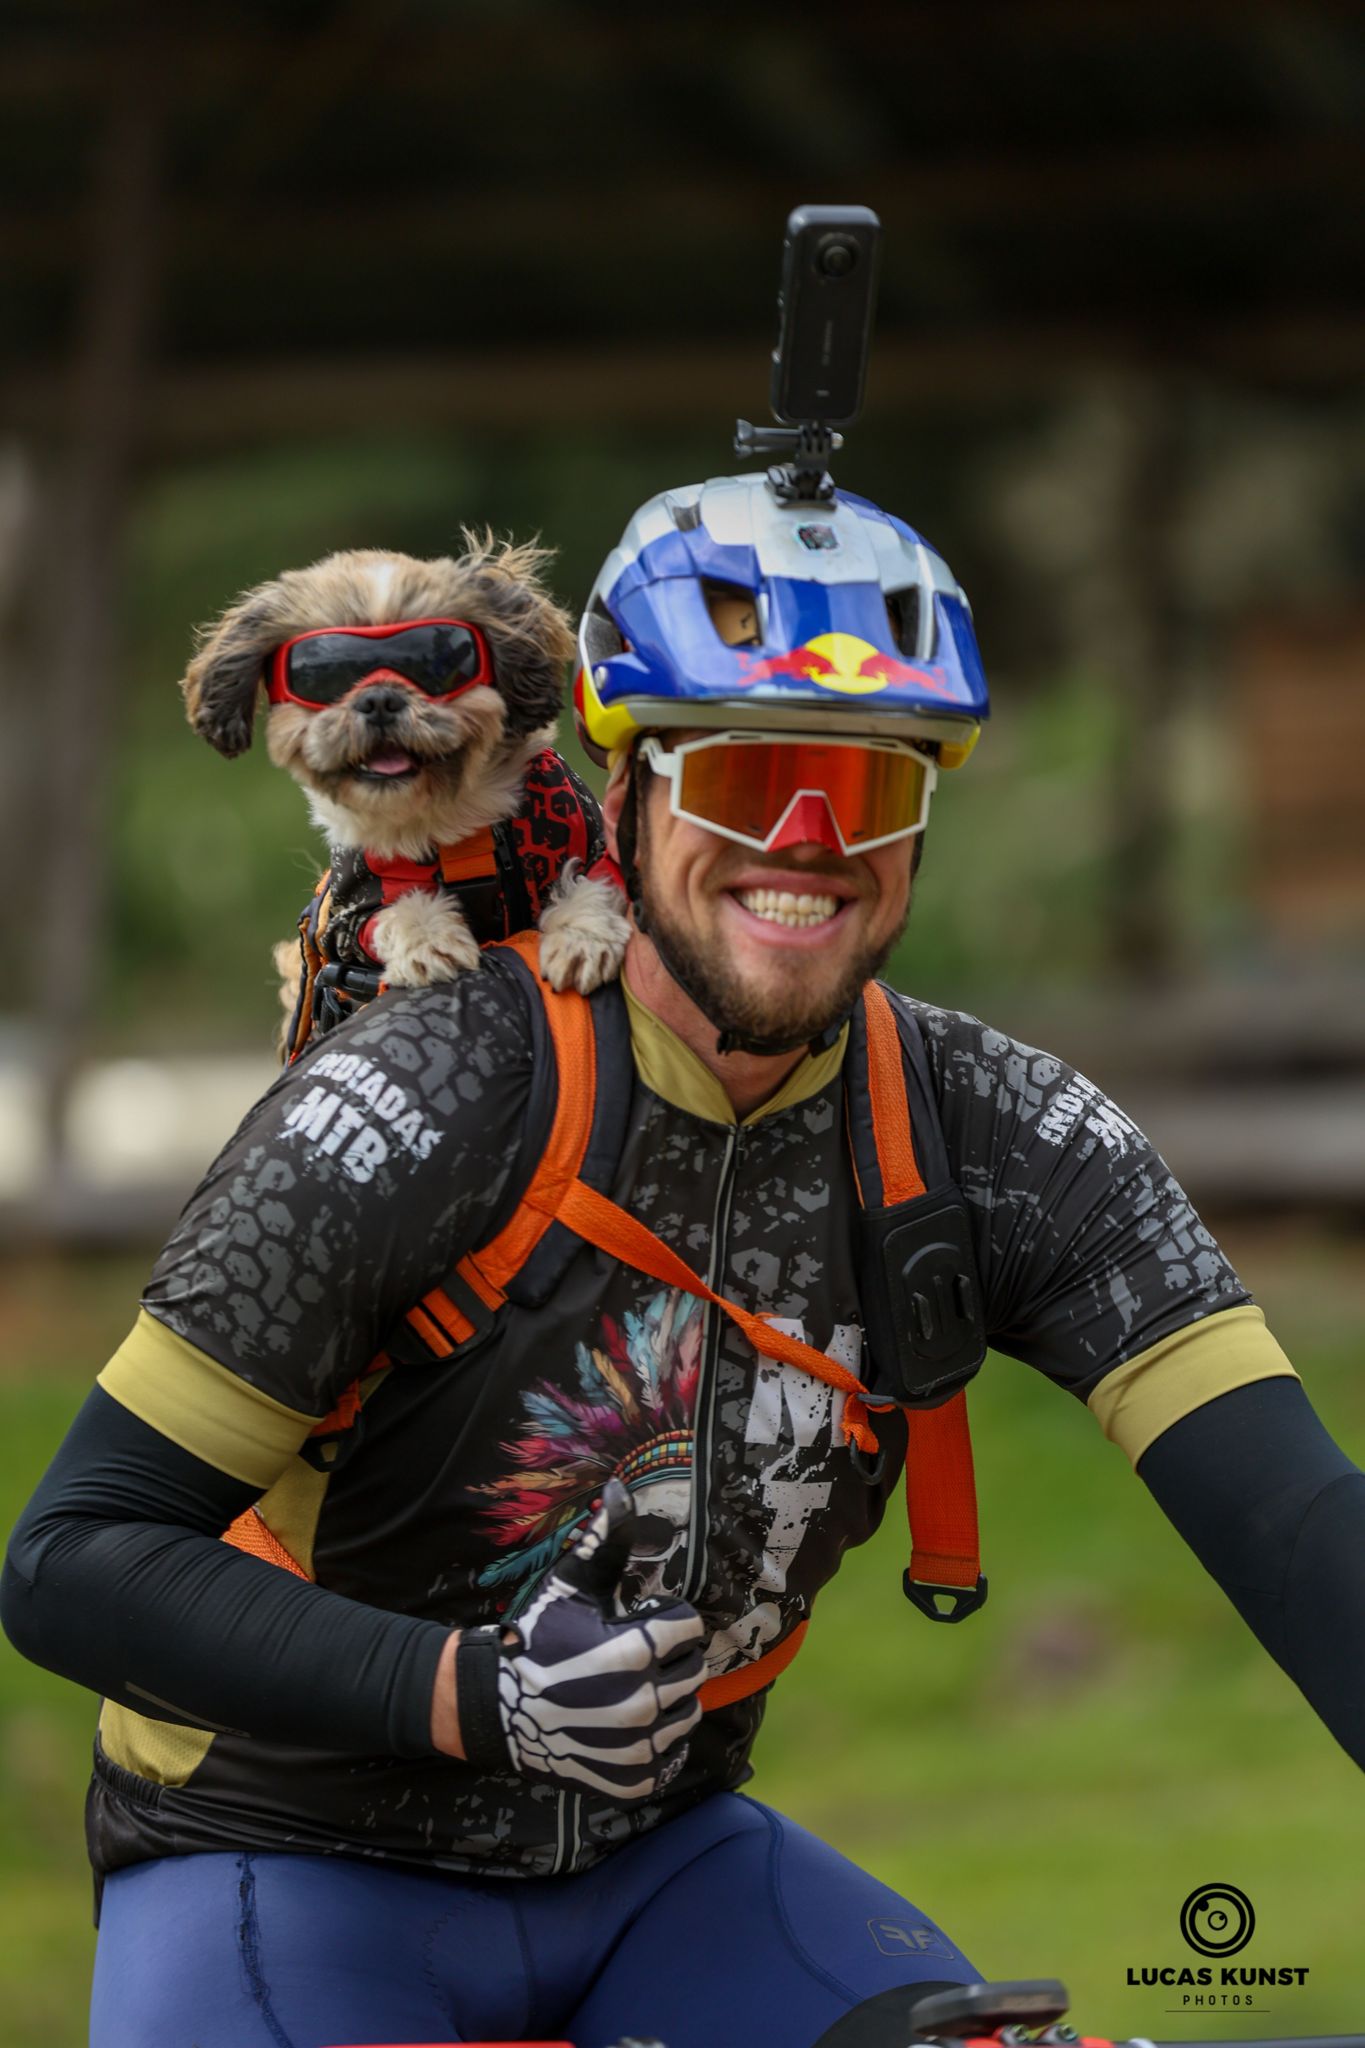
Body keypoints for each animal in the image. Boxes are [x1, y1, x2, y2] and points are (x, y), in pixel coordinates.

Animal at [179, 534, 630, 1049]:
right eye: (324, 676)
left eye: (436, 664)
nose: (378, 698)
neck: (448, 815)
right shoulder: (348, 920)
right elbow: (394, 912)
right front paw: (430, 942)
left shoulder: (590, 837)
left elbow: (594, 878)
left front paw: (582, 935)